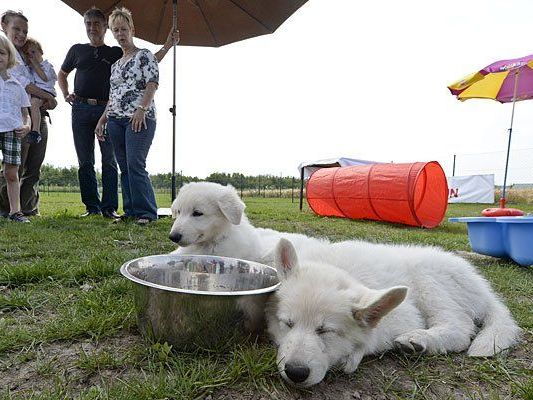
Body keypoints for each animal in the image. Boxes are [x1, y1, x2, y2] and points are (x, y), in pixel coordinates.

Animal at [266, 238, 520, 388]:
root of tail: (483, 288)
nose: (296, 372)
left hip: (429, 279)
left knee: (460, 328)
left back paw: (417, 339)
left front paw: (353, 353)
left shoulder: (405, 314)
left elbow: (374, 333)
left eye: (326, 331)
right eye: (287, 323)